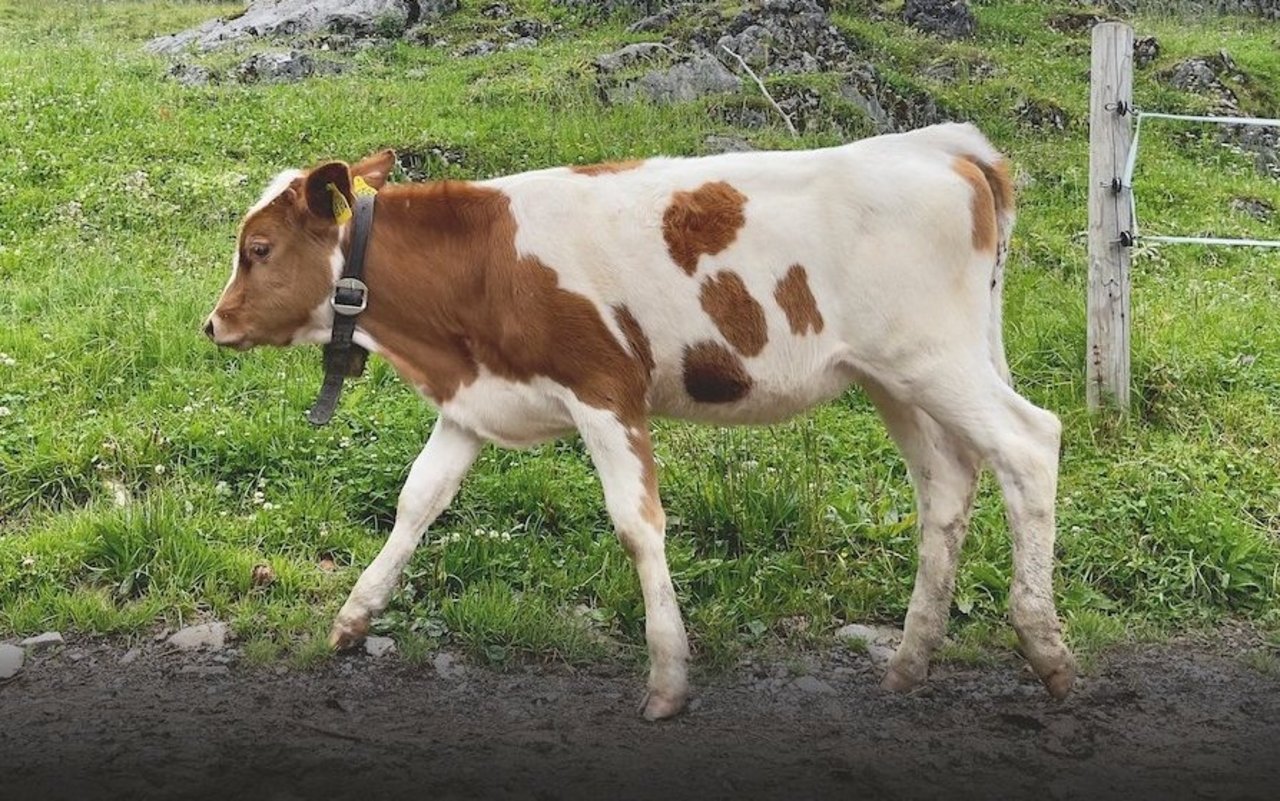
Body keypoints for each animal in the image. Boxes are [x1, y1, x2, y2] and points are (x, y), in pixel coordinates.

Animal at [207, 124, 1080, 716]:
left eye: (259, 247)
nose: (214, 325)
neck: (484, 264)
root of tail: (940, 146)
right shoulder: (476, 402)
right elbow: (417, 501)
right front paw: (353, 617)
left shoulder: (604, 389)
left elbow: (637, 523)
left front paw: (667, 677)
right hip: (893, 378)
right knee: (948, 483)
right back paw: (910, 659)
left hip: (935, 358)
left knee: (1029, 443)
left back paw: (1046, 647)